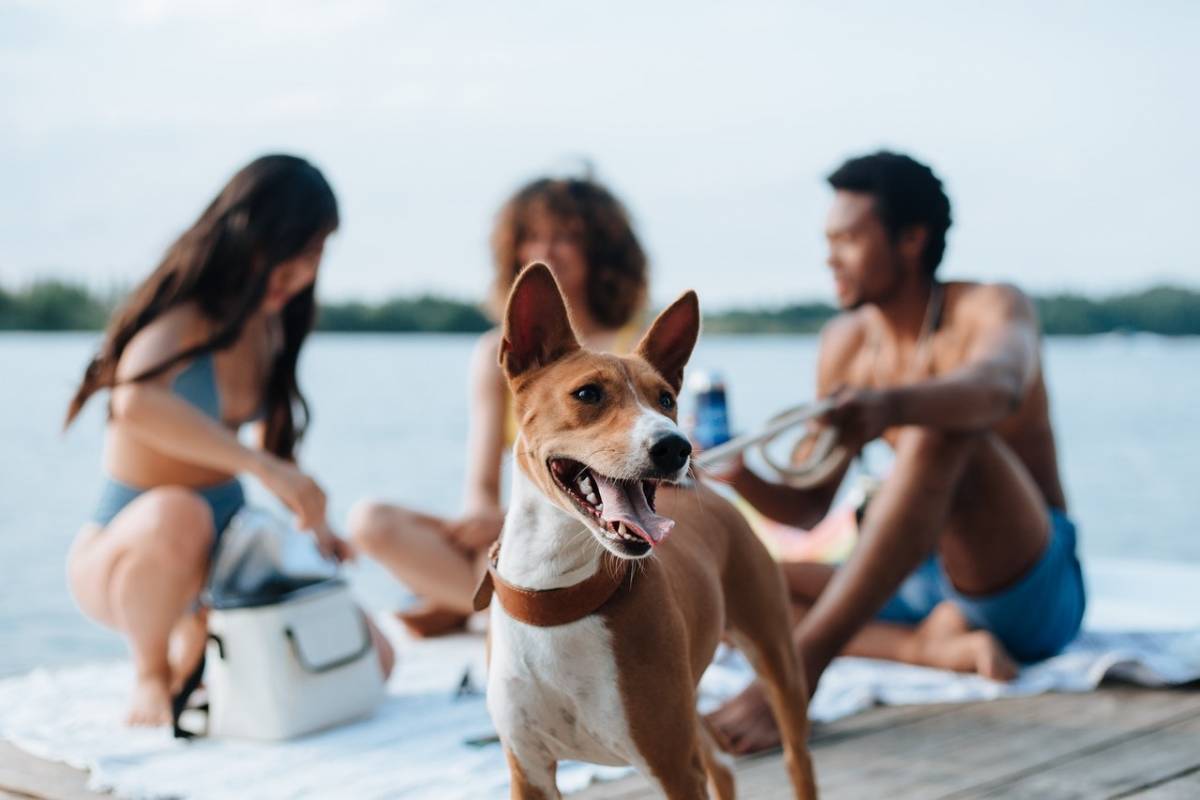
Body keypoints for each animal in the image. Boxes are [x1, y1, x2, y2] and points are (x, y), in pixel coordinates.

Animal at [477, 266, 816, 796]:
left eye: (667, 399)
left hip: (774, 657)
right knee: (721, 762)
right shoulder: (528, 771)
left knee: (795, 758)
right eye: (588, 394)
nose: (677, 447)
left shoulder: (671, 766)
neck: (557, 592)